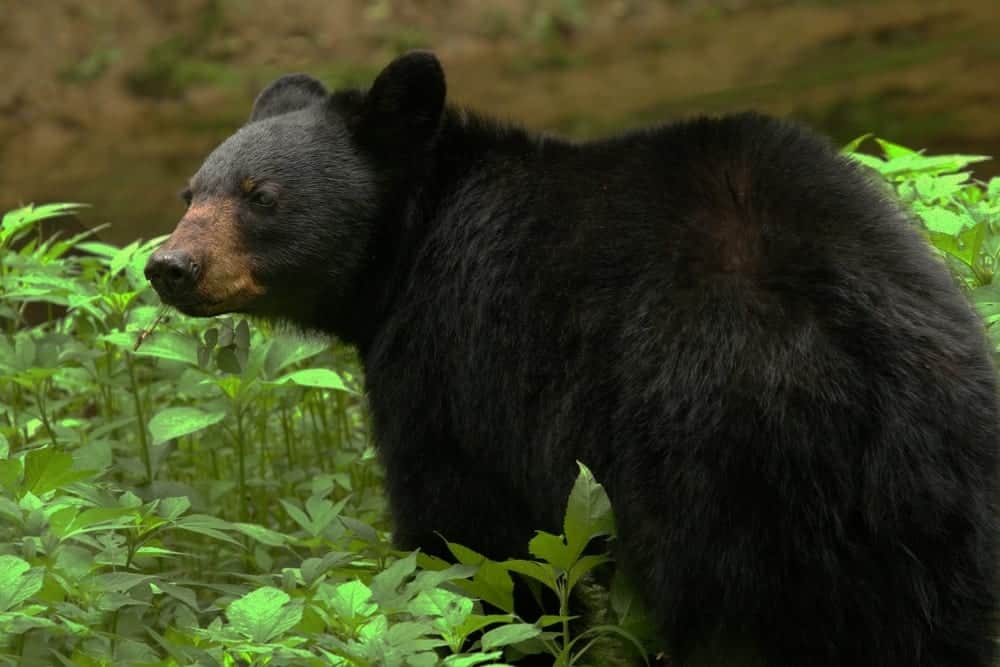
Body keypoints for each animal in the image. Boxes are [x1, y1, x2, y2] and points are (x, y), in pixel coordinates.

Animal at [145, 53, 996, 667]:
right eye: (190, 193)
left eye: (260, 194)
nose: (168, 266)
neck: (412, 244)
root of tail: (860, 354)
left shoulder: (447, 362)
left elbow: (475, 547)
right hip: (944, 485)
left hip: (712, 457)